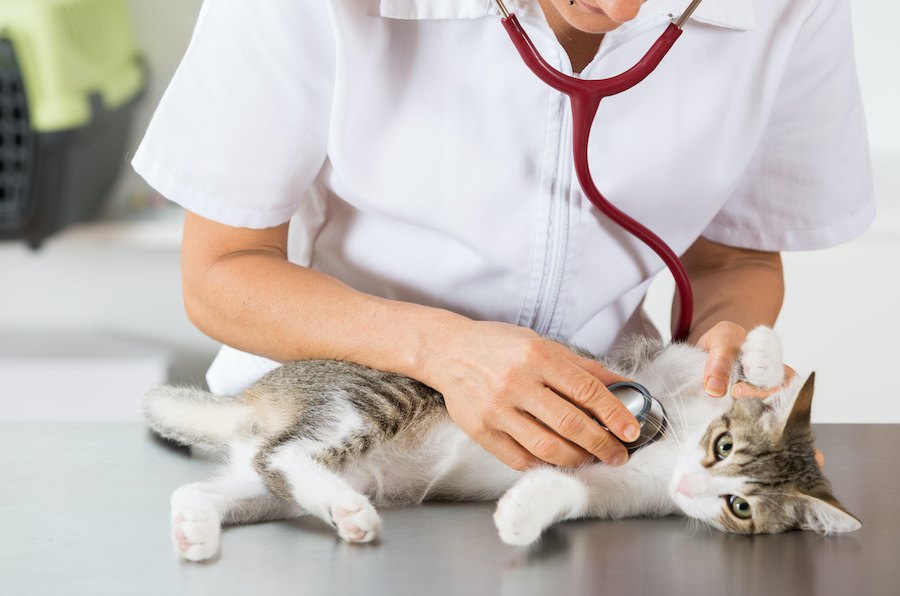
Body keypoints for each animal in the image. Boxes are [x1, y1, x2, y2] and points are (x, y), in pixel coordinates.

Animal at [144, 328, 860, 560]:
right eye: (722, 445)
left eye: (742, 507)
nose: (694, 484)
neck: (666, 451)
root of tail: (263, 393)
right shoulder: (657, 368)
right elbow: (706, 353)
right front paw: (761, 359)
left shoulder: (619, 491)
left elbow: (570, 488)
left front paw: (521, 515)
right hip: (375, 400)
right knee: (286, 454)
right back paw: (350, 513)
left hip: (275, 482)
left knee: (234, 479)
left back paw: (196, 527)